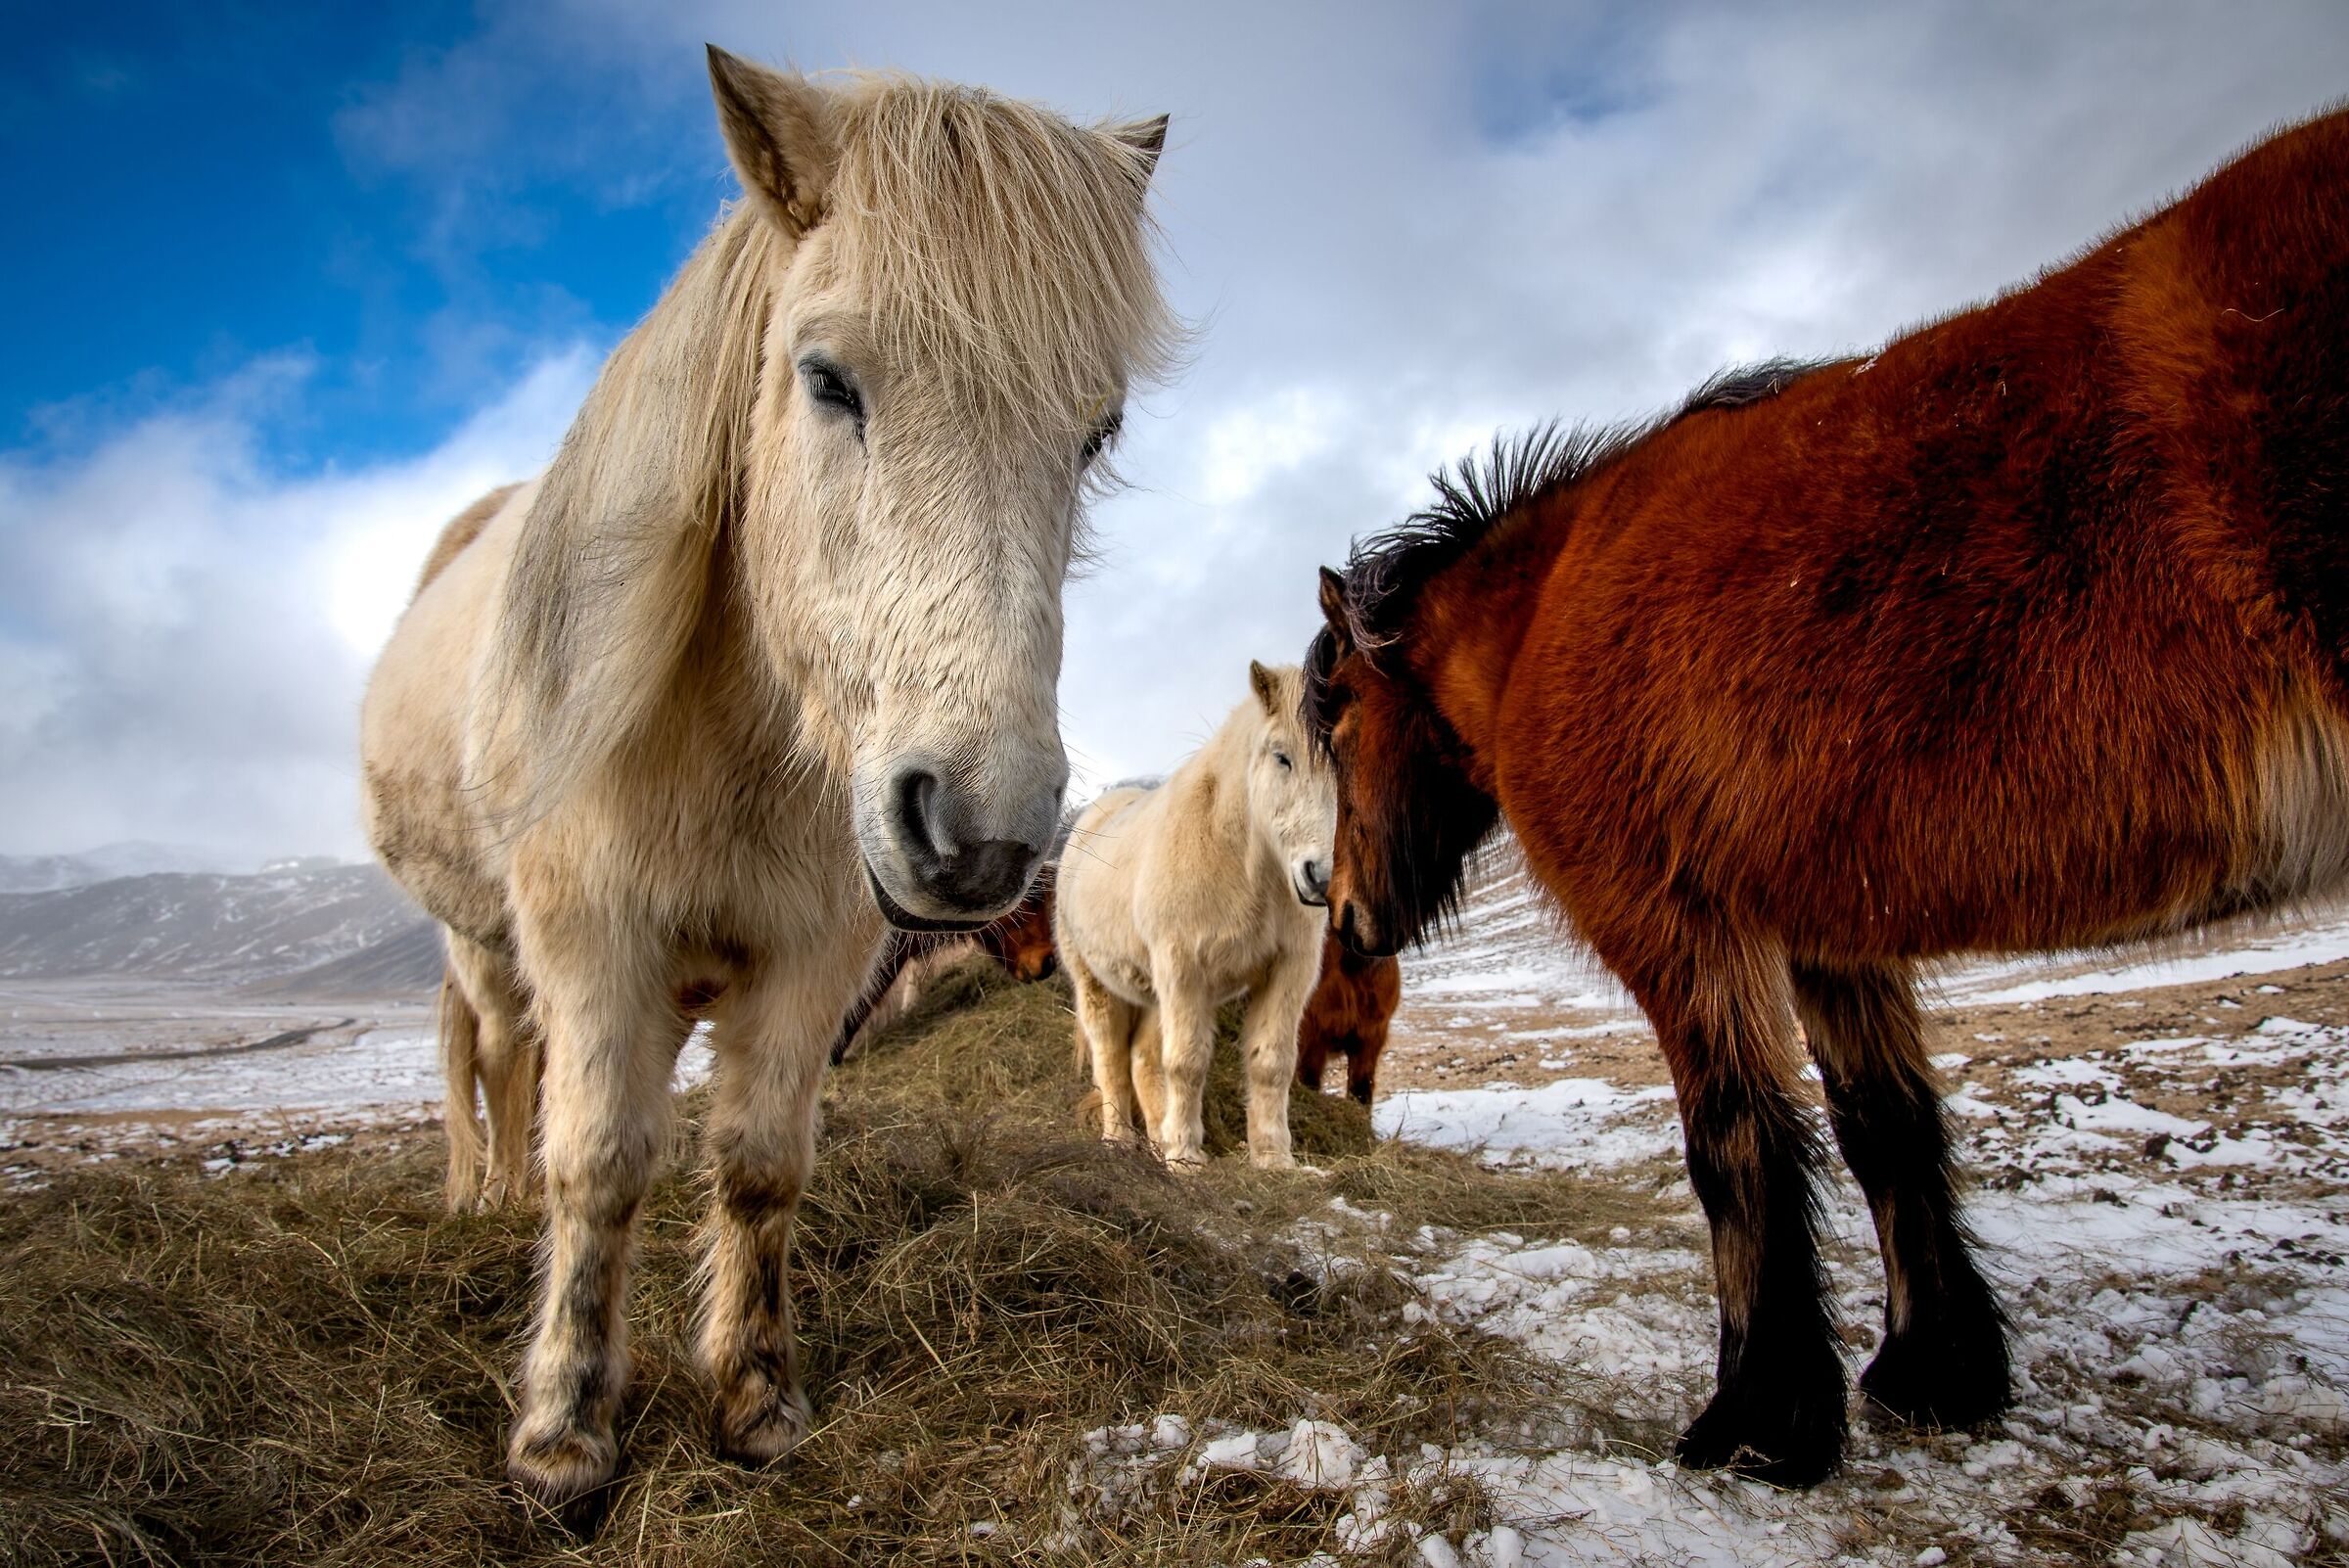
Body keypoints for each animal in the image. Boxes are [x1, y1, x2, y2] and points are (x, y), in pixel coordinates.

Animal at [360, 48, 1173, 1507]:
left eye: (1097, 431)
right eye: (827, 379)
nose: (979, 831)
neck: (735, 744)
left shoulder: (809, 958)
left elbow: (757, 1166)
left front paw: (753, 1400)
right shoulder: (593, 941)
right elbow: (599, 1162)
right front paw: (563, 1433)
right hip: (483, 938)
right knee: (499, 1058)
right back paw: (488, 1198)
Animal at [1055, 662, 1336, 1169]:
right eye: (1281, 757)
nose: (1320, 878)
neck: (1241, 860)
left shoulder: (1289, 969)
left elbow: (1271, 1062)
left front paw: (1273, 1160)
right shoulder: (1185, 969)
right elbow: (1186, 1061)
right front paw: (1186, 1159)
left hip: (1150, 991)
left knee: (1142, 1060)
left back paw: (1156, 1142)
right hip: (1097, 986)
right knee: (1111, 1060)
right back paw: (1121, 1143)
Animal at [1304, 107, 2349, 1488]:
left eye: (1334, 729)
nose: (1340, 910)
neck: (1547, 611)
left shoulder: (1676, 924)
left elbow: (1735, 1145)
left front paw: (1757, 1417)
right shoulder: (1829, 932)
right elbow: (1884, 1127)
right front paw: (1932, 1370)